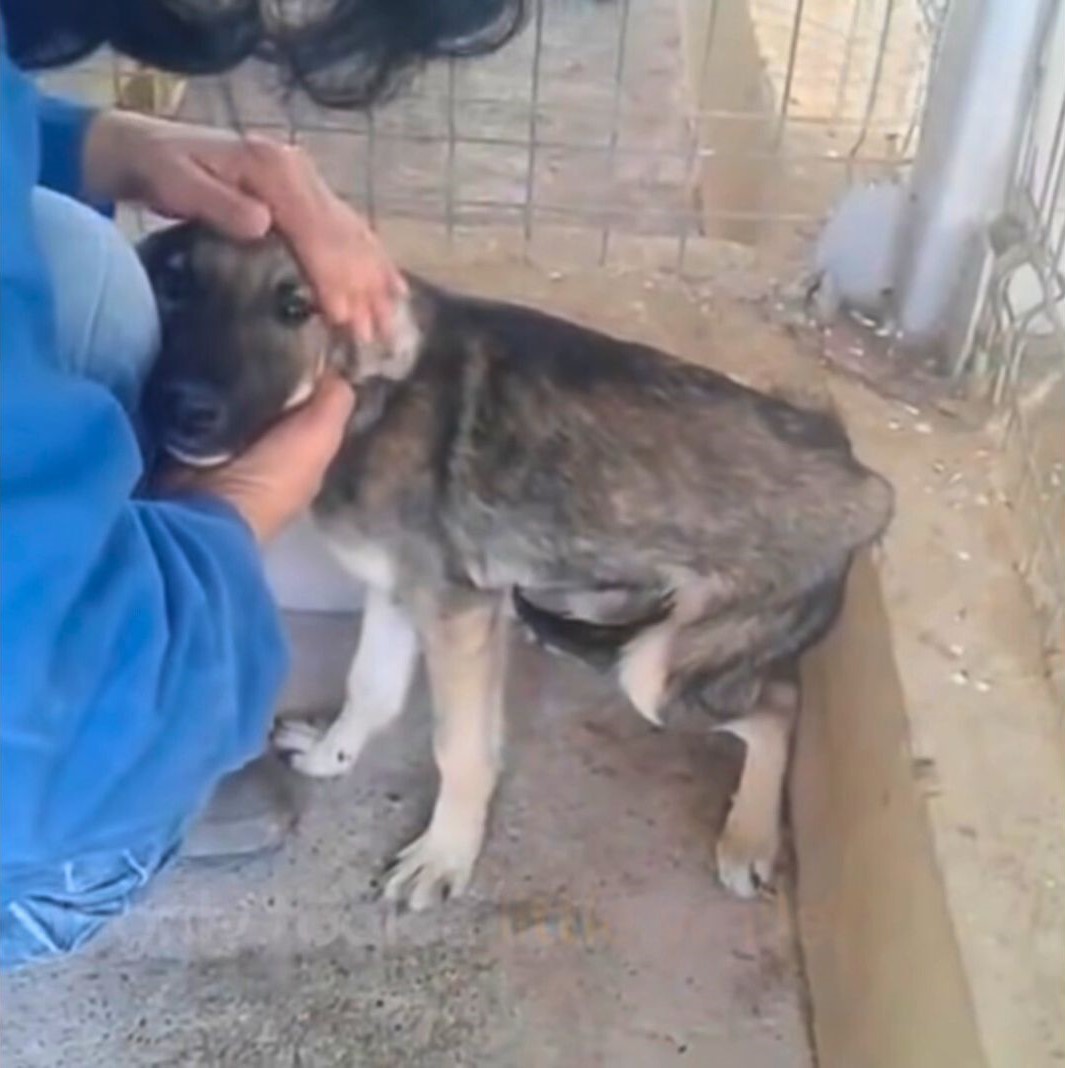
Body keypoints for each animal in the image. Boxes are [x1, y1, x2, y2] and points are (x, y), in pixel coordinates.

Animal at [138, 223, 888, 909]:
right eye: (174, 286)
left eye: (296, 306)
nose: (185, 409)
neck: (373, 397)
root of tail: (867, 484)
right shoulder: (398, 590)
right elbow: (369, 688)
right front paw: (331, 755)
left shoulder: (455, 610)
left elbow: (460, 749)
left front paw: (445, 855)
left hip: (660, 671)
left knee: (778, 704)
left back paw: (749, 836)